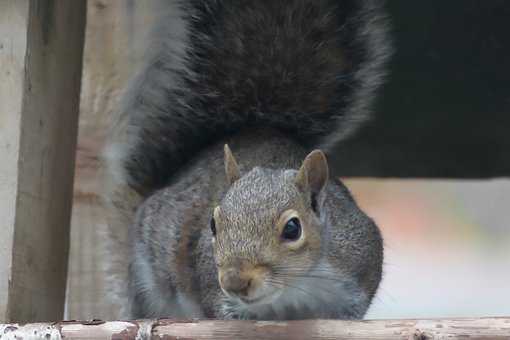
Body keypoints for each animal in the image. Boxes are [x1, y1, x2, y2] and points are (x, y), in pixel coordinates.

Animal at [101, 0, 392, 320]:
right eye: (213, 225)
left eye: (293, 229)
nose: (235, 281)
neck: (294, 288)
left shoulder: (358, 266)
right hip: (147, 279)